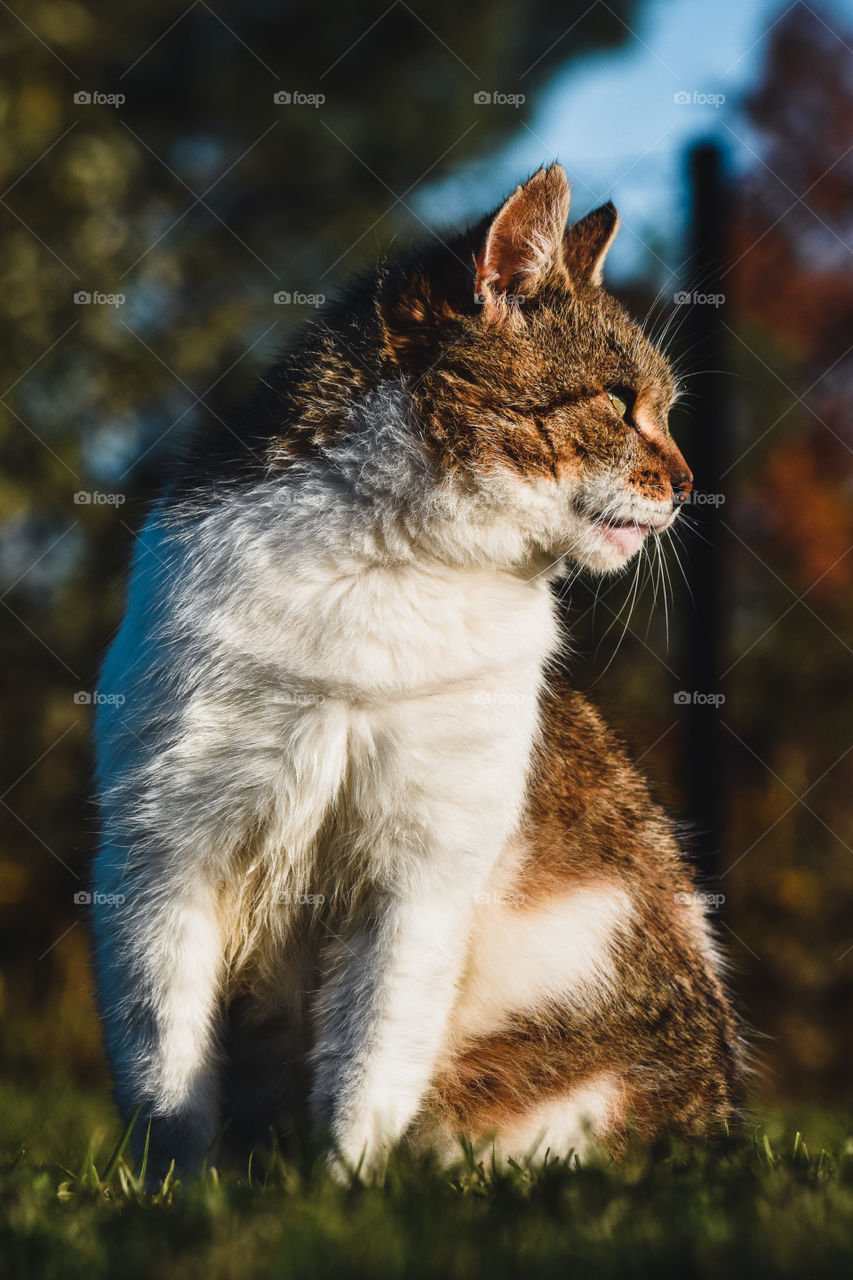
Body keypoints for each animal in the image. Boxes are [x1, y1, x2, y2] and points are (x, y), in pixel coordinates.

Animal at [92, 162, 737, 1177]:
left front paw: (343, 1189)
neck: (391, 569)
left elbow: (369, 1062)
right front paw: (175, 1191)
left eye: (666, 411)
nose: (686, 484)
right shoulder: (162, 849)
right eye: (618, 402)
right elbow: (167, 1073)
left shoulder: (421, 876)